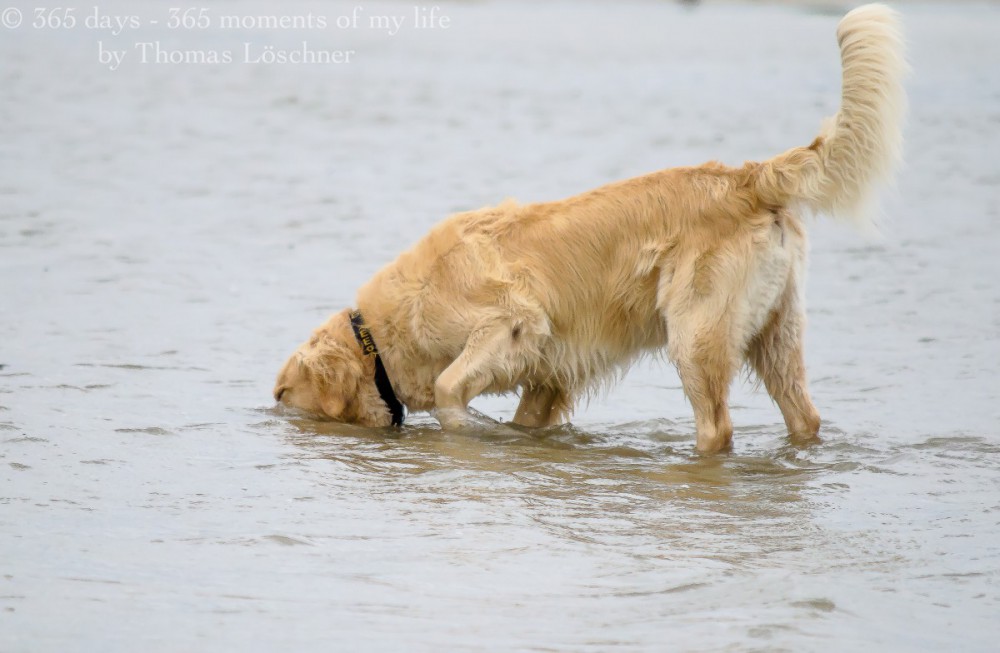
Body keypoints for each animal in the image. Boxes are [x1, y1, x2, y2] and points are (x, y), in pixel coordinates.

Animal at [274, 5, 908, 450]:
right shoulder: (550, 376)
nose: (271, 409)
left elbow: (452, 387)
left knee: (717, 426)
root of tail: (747, 178)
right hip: (776, 331)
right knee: (805, 415)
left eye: (283, 393)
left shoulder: (511, 321)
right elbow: (529, 417)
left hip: (695, 332)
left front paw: (464, 428)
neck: (383, 330)